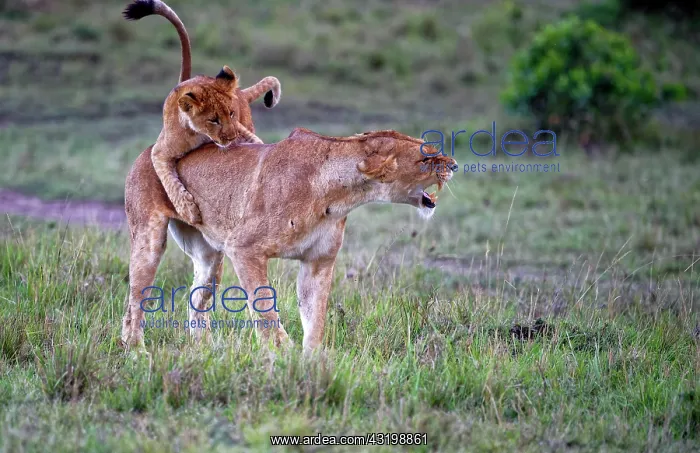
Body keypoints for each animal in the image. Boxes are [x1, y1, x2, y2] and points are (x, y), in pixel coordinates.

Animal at [121, 127, 458, 352]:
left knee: (195, 299)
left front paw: (311, 362)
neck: (341, 194)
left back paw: (206, 350)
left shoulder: (318, 262)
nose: (455, 165)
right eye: (425, 158)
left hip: (209, 260)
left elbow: (315, 318)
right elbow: (265, 307)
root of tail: (151, 148)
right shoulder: (243, 247)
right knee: (135, 300)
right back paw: (136, 351)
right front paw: (281, 353)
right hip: (150, 240)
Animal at [122, 0, 282, 225]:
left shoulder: (245, 132)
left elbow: (255, 145)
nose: (231, 137)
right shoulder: (160, 151)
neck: (199, 134)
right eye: (213, 120)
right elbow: (168, 179)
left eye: (231, 114)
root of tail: (239, 93)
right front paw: (188, 210)